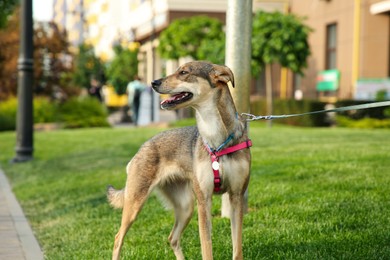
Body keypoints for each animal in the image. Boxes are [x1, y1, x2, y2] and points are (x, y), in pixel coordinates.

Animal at [108, 61, 251, 260]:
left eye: (183, 72)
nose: (154, 82)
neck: (217, 140)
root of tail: (142, 148)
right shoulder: (204, 201)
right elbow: (207, 247)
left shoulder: (236, 197)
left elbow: (237, 249)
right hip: (135, 204)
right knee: (117, 238)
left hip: (185, 207)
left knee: (172, 238)